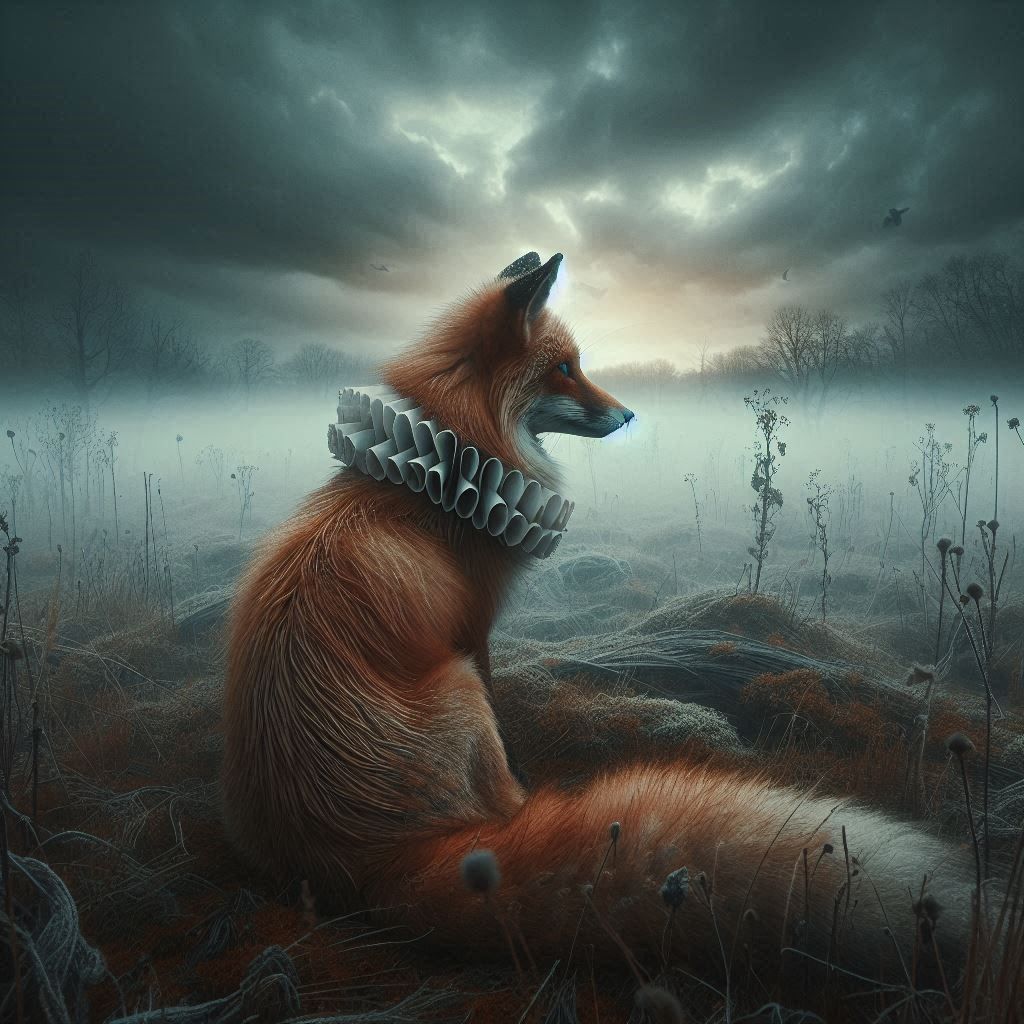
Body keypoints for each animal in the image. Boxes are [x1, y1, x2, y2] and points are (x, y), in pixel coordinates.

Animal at [223, 252, 976, 995]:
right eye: (564, 368)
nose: (629, 412)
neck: (432, 475)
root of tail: (366, 862)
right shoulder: (475, 630)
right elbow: (498, 691)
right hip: (457, 688)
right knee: (504, 809)